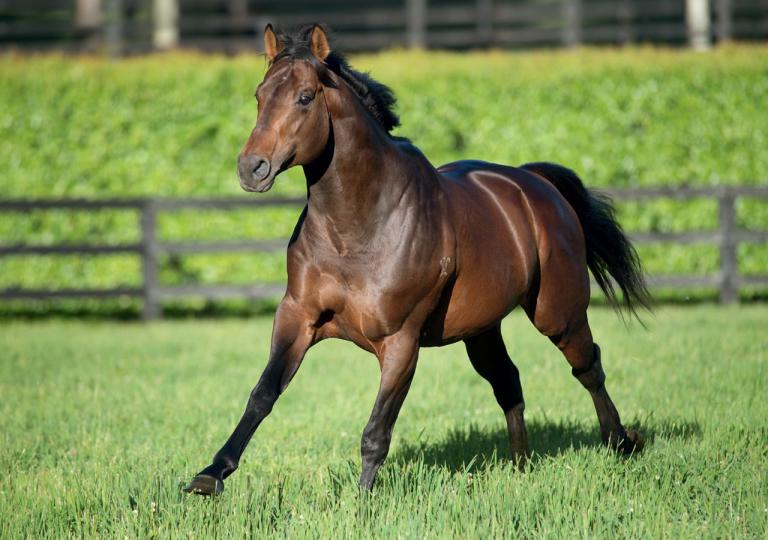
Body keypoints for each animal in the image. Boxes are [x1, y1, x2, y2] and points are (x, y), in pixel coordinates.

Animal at [184, 24, 650, 496]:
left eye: (304, 96)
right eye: (259, 95)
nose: (251, 168)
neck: (357, 230)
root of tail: (536, 184)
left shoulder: (400, 341)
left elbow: (376, 431)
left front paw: (361, 501)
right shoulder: (298, 317)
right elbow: (262, 395)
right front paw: (209, 476)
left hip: (558, 313)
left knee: (588, 366)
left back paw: (621, 442)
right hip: (482, 329)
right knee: (508, 381)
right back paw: (521, 468)